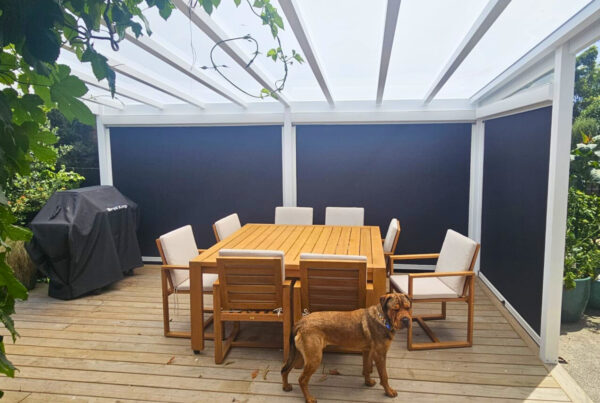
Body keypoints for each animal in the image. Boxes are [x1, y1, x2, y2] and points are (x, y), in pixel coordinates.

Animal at [282, 294, 412, 403]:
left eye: (408, 307)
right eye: (395, 309)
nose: (406, 320)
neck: (383, 319)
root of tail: (301, 322)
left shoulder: (367, 351)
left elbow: (366, 369)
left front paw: (368, 382)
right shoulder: (380, 355)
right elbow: (384, 376)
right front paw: (389, 392)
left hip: (298, 354)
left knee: (284, 369)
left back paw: (286, 387)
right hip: (314, 358)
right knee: (302, 379)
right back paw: (309, 398)